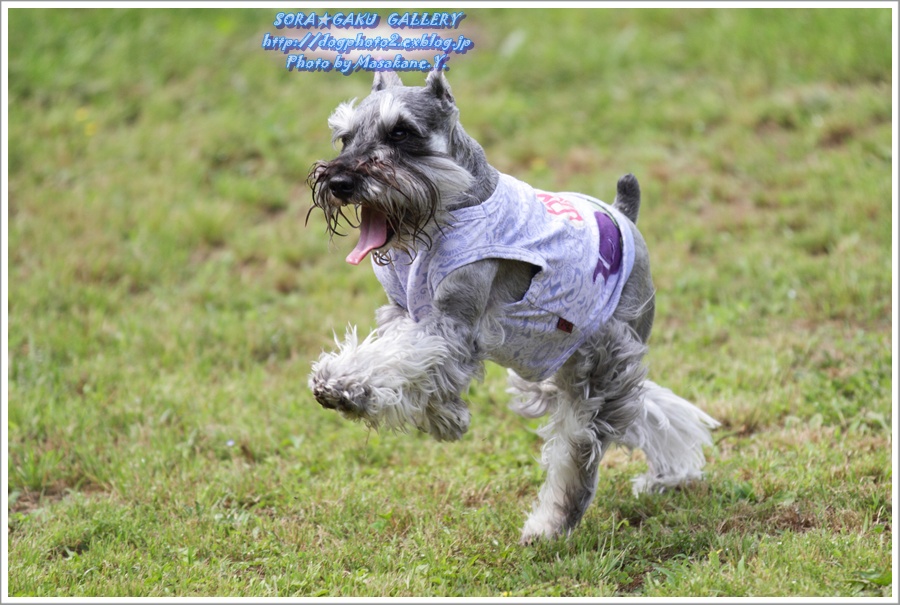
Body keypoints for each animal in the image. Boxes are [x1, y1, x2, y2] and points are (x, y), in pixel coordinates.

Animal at [308, 71, 716, 544]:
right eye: (344, 137)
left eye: (401, 133)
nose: (339, 182)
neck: (445, 213)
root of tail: (623, 214)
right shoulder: (404, 316)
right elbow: (401, 361)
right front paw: (440, 414)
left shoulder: (449, 326)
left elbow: (399, 360)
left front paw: (344, 386)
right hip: (554, 371)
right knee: (648, 408)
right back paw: (671, 474)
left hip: (601, 365)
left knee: (579, 450)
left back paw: (550, 526)